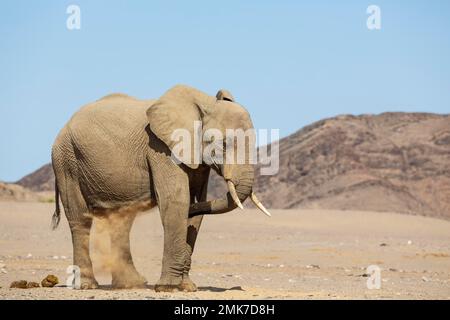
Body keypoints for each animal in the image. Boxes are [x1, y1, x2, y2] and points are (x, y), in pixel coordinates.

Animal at [52, 85, 270, 292]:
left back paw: (131, 284)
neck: (203, 104)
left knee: (122, 221)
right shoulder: (161, 148)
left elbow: (195, 207)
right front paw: (168, 287)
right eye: (223, 144)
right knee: (80, 219)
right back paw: (88, 285)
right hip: (66, 160)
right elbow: (176, 202)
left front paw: (187, 287)